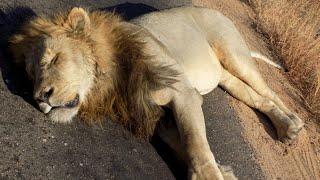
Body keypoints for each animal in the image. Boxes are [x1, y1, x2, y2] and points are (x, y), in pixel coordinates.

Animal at [9, 6, 304, 179]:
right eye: (32, 75)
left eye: (54, 59)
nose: (40, 97)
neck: (113, 80)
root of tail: (215, 10)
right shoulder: (156, 114)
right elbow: (185, 145)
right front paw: (225, 172)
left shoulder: (183, 92)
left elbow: (196, 144)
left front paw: (212, 173)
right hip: (224, 76)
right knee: (257, 97)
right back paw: (284, 127)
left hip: (233, 53)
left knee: (270, 92)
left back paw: (294, 125)